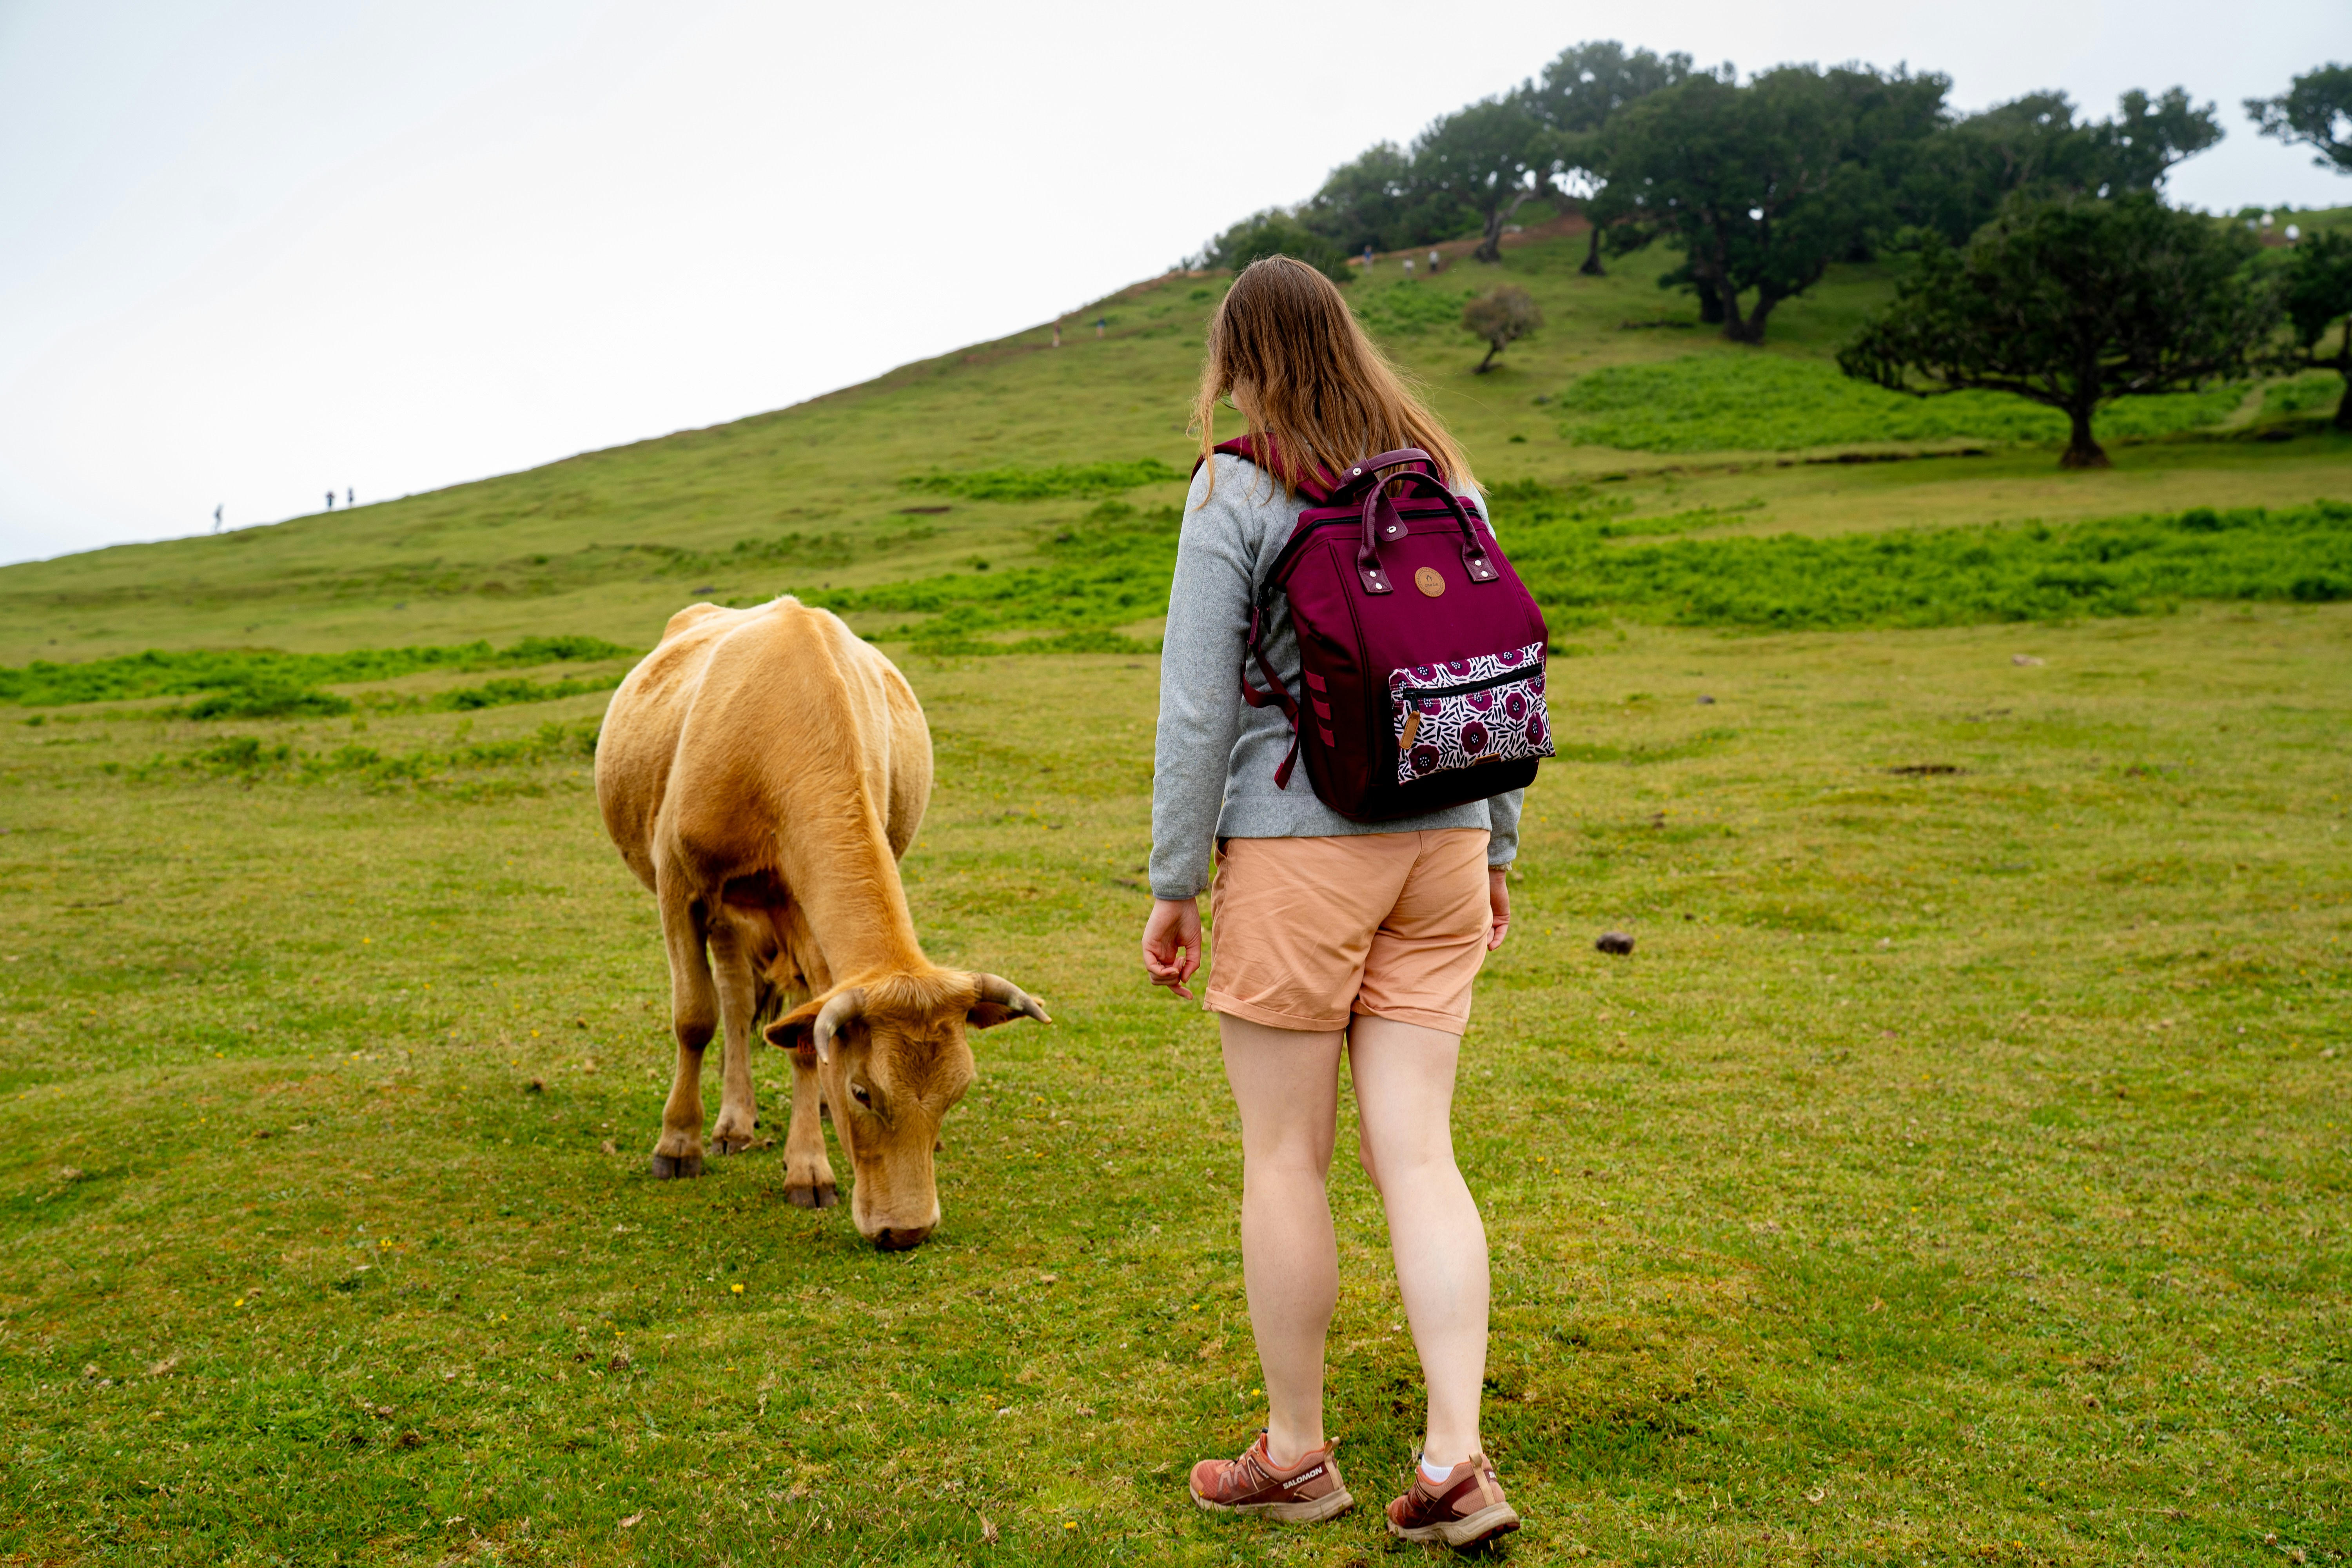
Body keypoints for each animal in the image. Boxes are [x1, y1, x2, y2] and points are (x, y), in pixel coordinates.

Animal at [594, 597, 1050, 1250]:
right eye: (864, 1091)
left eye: (958, 1092)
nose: (908, 1230)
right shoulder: (681, 888)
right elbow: (694, 1018)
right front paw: (678, 1142)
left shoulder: (804, 918)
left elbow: (808, 1040)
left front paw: (808, 1168)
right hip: (725, 914)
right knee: (731, 1003)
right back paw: (731, 1124)